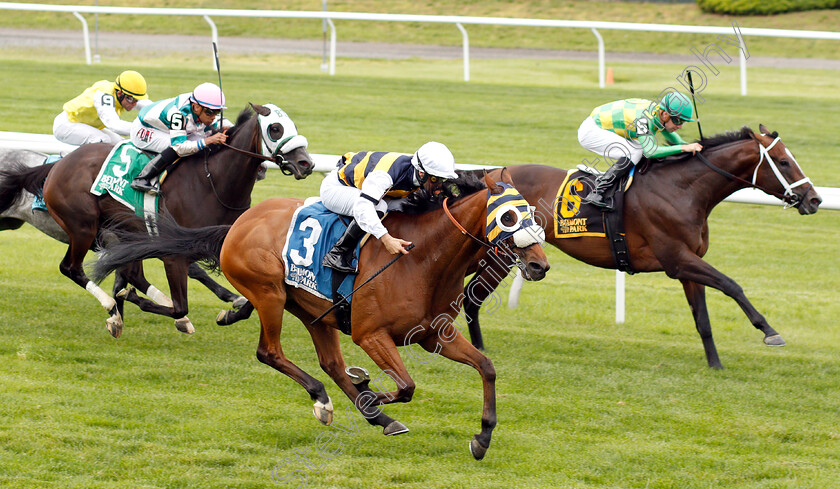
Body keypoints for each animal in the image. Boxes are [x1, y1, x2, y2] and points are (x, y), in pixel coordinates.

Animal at [92, 170, 552, 460]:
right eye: (509, 215)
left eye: (531, 212)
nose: (540, 265)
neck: (423, 258)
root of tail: (238, 224)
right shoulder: (370, 334)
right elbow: (406, 386)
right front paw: (369, 390)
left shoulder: (433, 335)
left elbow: (486, 368)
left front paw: (483, 437)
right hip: (271, 294)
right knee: (270, 353)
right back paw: (330, 401)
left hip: (314, 312)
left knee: (328, 361)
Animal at [460, 124, 820, 368]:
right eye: (783, 162)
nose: (814, 199)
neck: (682, 189)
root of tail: (490, 177)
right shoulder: (677, 259)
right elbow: (732, 285)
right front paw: (769, 331)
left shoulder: (688, 265)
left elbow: (702, 318)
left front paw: (715, 364)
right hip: (499, 256)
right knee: (471, 296)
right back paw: (479, 349)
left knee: (468, 294)